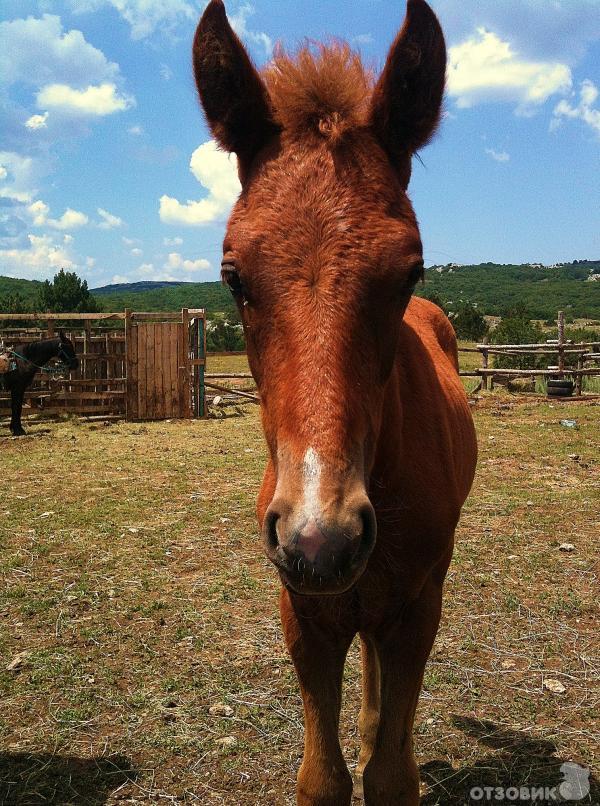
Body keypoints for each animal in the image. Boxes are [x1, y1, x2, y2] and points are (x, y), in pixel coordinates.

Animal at [192, 3, 478, 804]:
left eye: (411, 270)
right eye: (232, 276)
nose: (321, 539)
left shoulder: (416, 609)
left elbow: (390, 776)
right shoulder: (304, 614)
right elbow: (323, 778)